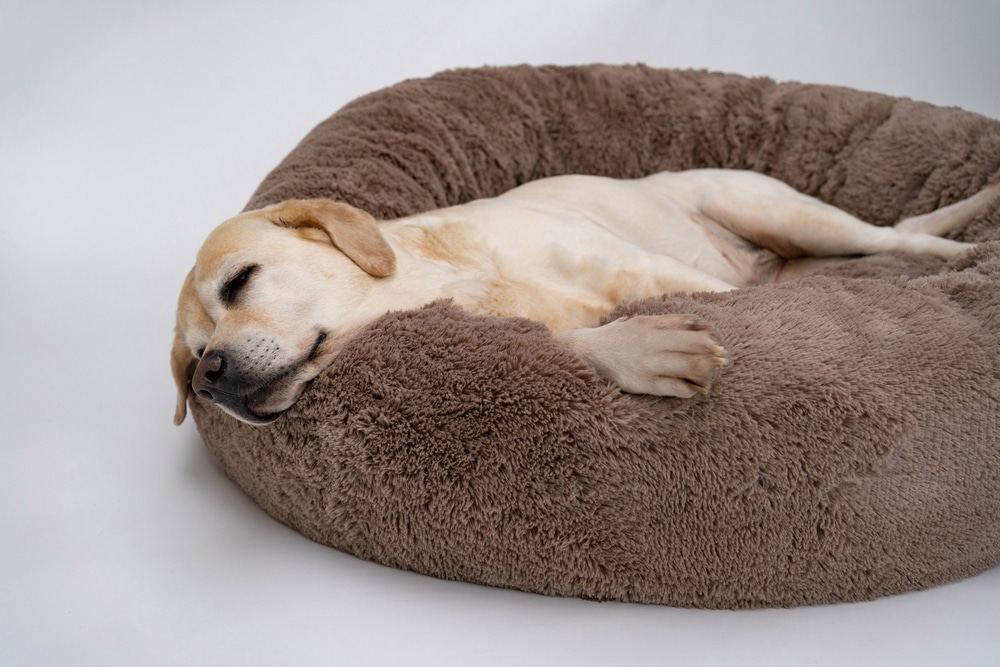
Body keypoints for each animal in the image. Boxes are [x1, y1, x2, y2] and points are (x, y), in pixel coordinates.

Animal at [172, 170, 1000, 426]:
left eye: (239, 281)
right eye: (190, 360)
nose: (209, 376)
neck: (465, 275)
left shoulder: (646, 269)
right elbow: (584, 340)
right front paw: (643, 348)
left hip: (781, 212)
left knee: (900, 237)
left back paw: (961, 246)